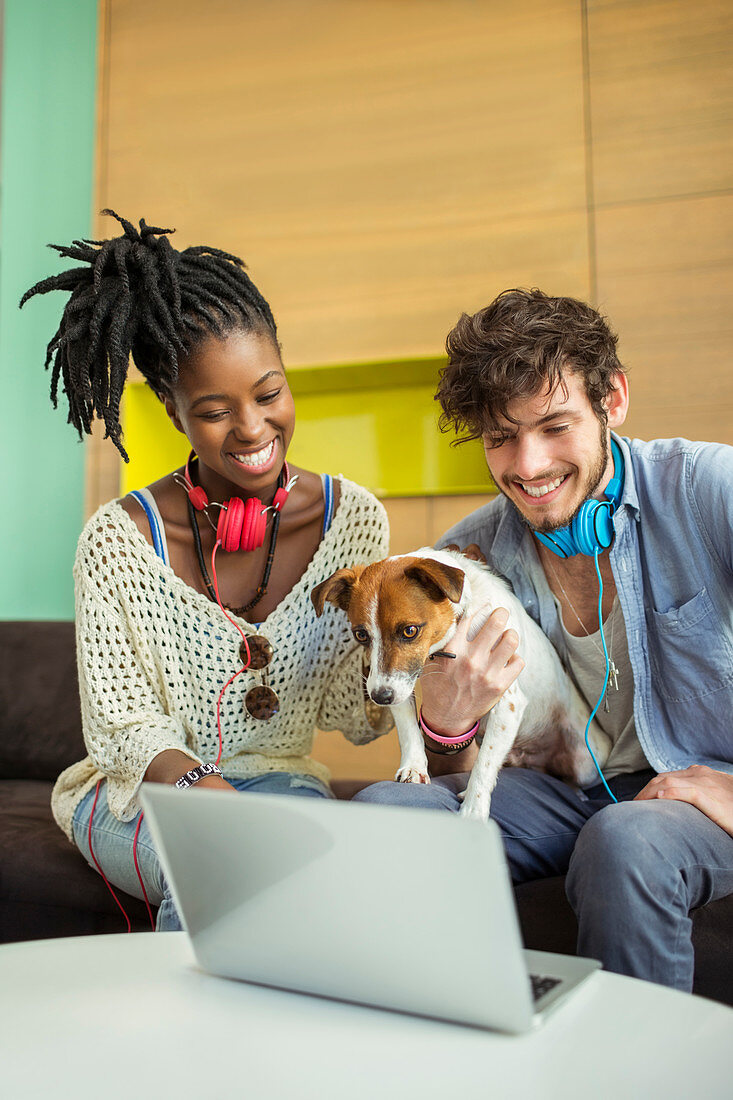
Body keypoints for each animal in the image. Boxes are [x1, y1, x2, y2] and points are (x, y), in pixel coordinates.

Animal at [310, 545, 611, 822]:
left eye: (410, 630)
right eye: (361, 634)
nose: (380, 698)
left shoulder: (509, 703)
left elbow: (485, 761)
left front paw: (474, 807)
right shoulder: (400, 682)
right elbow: (409, 729)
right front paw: (414, 766)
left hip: (587, 761)